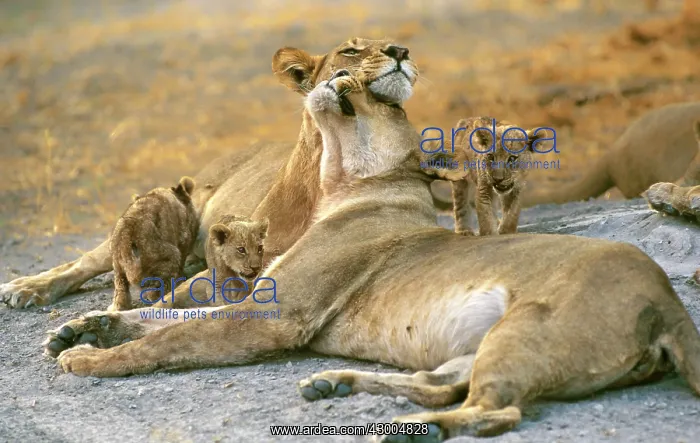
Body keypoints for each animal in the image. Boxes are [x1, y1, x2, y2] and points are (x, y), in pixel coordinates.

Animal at [108, 176, 198, 312]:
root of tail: (127, 237)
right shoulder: (183, 241)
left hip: (117, 267)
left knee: (120, 290)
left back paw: (118, 307)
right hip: (168, 255)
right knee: (156, 290)